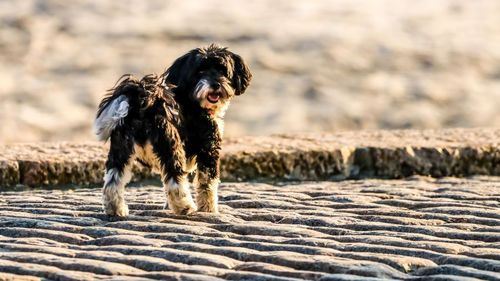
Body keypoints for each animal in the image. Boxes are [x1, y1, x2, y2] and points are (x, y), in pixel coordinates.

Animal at [94, 43, 252, 215]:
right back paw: (185, 207)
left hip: (121, 149)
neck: (193, 101)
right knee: (174, 178)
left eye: (222, 70)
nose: (216, 84)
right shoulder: (209, 148)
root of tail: (144, 103)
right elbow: (207, 183)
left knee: (113, 180)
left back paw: (116, 209)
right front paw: (208, 209)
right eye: (200, 72)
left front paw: (168, 206)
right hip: (171, 146)